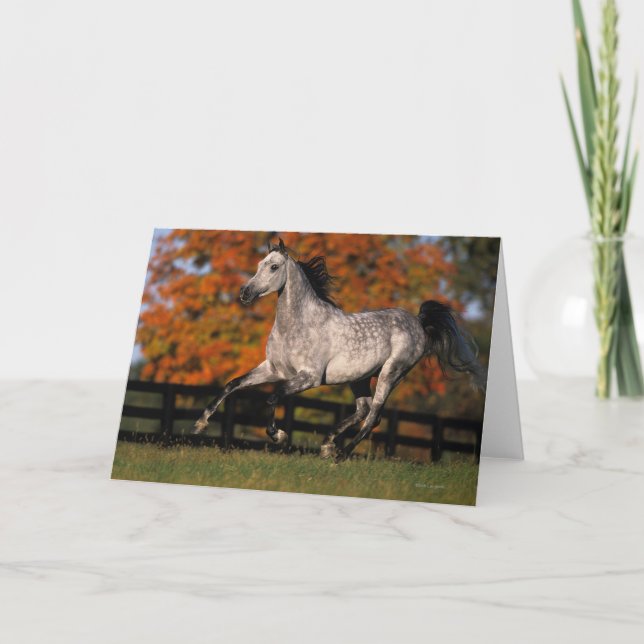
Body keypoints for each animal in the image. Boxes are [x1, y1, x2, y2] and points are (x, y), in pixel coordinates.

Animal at [194, 238, 485, 461]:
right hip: (359, 378)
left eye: (274, 267)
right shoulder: (274, 369)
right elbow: (232, 384)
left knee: (373, 416)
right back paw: (327, 446)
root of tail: (419, 323)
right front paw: (200, 424)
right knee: (364, 410)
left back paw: (341, 455)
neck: (297, 324)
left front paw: (279, 436)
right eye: (258, 265)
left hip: (391, 374)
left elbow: (273, 397)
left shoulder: (308, 378)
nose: (245, 292)